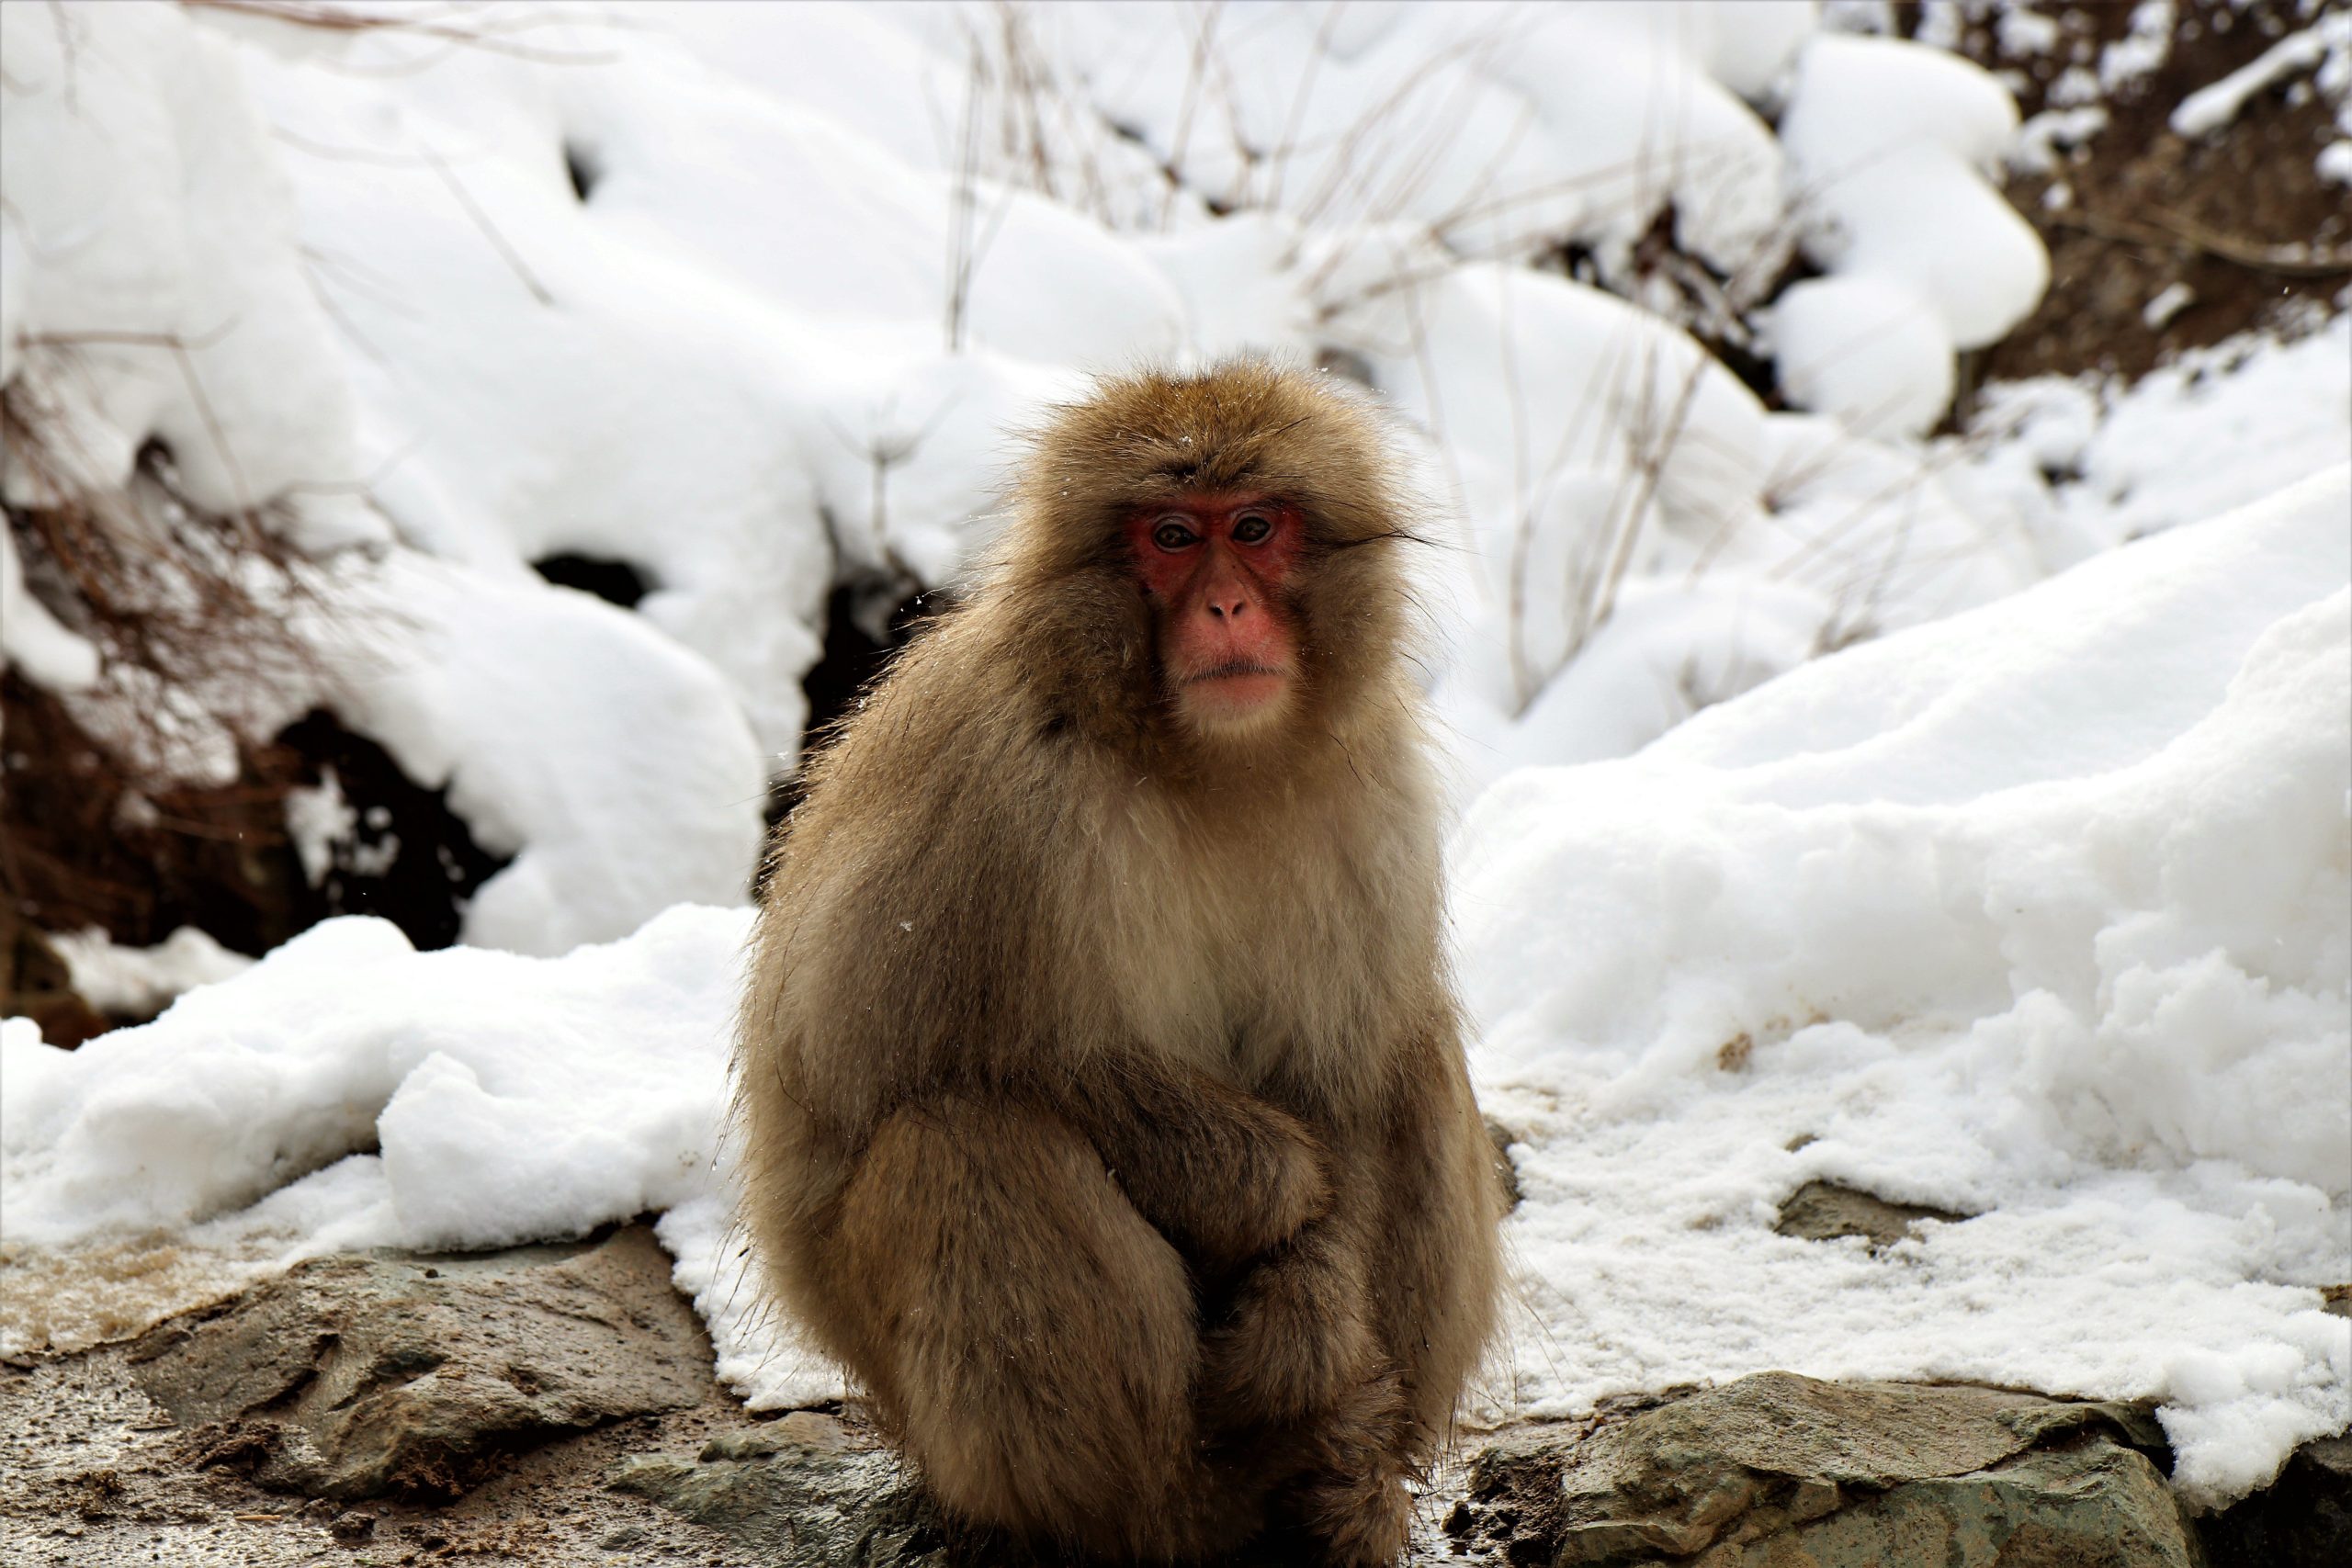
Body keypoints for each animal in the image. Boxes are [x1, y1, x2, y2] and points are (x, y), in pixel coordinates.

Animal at [734, 362, 1504, 1564]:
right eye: (1172, 538)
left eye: (1254, 529)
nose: (1227, 606)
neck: (1201, 760)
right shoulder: (1004, 792)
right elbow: (881, 1058)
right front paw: (1269, 1184)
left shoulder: (1370, 794)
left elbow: (1343, 1081)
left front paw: (1311, 1316)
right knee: (959, 1137)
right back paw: (1173, 1503)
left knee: (1414, 1057)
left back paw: (1347, 1478)